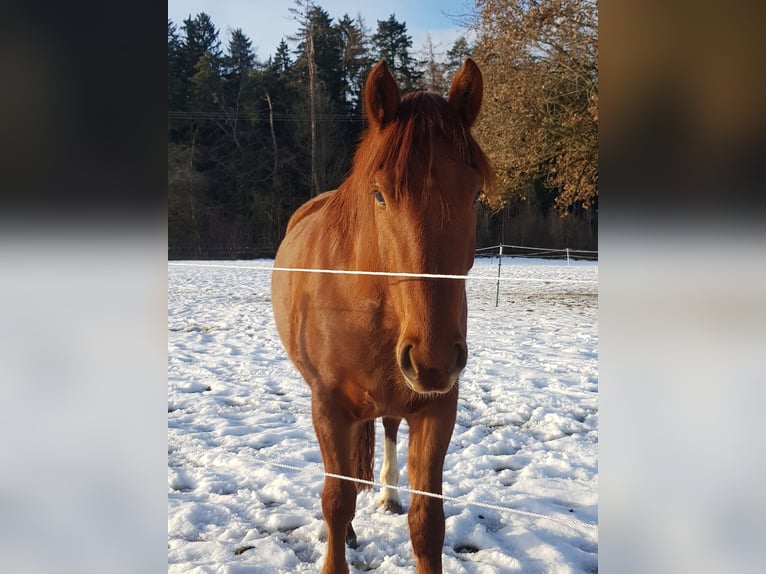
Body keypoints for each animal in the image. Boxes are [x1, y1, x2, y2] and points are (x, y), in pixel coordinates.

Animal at [271, 58, 495, 574]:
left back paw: (388, 496)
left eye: (475, 195)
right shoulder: (328, 406)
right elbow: (336, 501)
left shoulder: (438, 408)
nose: (433, 359)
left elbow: (427, 522)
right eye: (379, 195)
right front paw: (340, 542)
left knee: (388, 430)